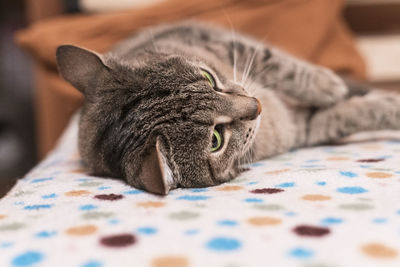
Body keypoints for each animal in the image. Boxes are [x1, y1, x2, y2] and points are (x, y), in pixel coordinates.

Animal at [55, 20, 400, 195]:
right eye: (215, 140)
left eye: (208, 77)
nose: (257, 105)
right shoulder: (301, 126)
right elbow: (350, 115)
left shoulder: (222, 40)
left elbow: (281, 63)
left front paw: (326, 84)